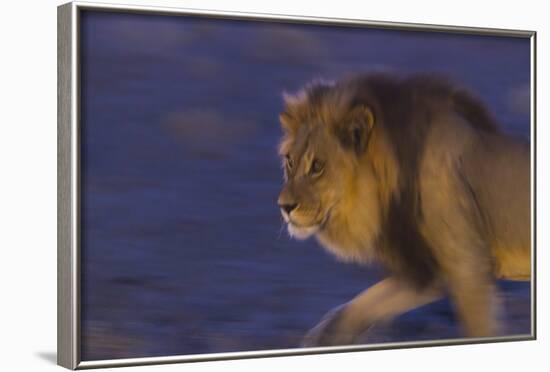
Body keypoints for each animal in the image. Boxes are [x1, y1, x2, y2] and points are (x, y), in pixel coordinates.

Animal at [278, 72, 532, 346]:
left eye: (317, 166)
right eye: (290, 161)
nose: (284, 206)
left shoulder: (468, 267)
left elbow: (481, 329)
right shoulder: (425, 268)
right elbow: (358, 306)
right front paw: (323, 337)